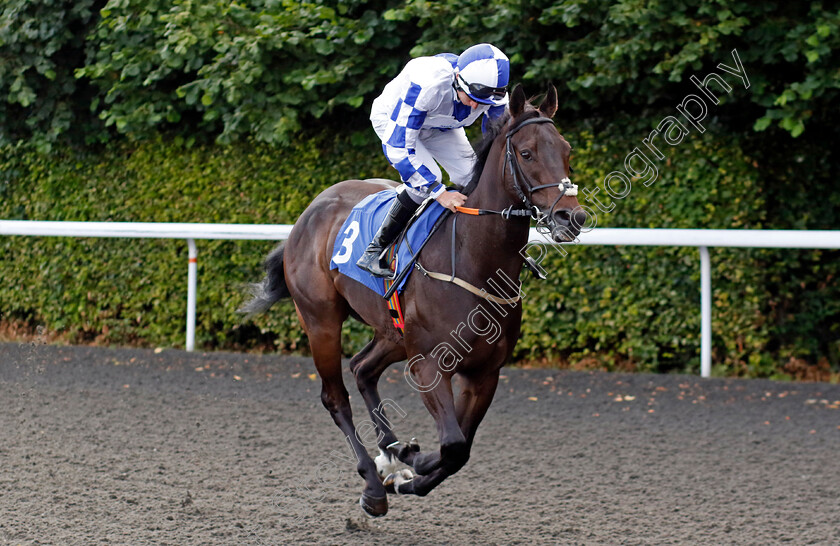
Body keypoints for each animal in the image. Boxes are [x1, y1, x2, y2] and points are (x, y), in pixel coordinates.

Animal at [241, 84, 584, 516]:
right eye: (526, 153)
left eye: (567, 149)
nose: (573, 217)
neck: (471, 259)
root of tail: (309, 212)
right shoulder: (428, 365)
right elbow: (452, 445)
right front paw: (409, 458)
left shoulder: (484, 373)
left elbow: (461, 450)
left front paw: (406, 470)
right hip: (321, 321)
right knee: (335, 397)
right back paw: (374, 484)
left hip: (393, 330)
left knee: (362, 369)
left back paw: (389, 455)